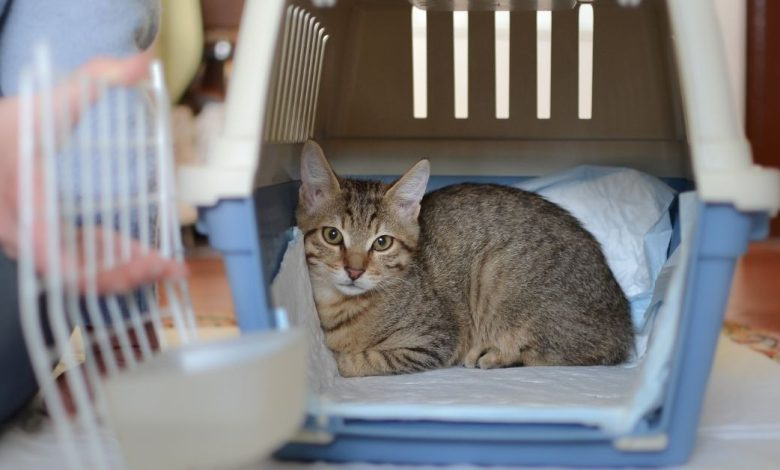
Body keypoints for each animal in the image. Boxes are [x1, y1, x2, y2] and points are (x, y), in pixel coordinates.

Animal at [298, 140, 632, 378]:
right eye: (332, 235)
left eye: (382, 242)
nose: (354, 271)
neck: (340, 306)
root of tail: (625, 324)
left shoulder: (434, 340)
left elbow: (359, 361)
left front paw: (340, 359)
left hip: (501, 277)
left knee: (569, 354)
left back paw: (492, 355)